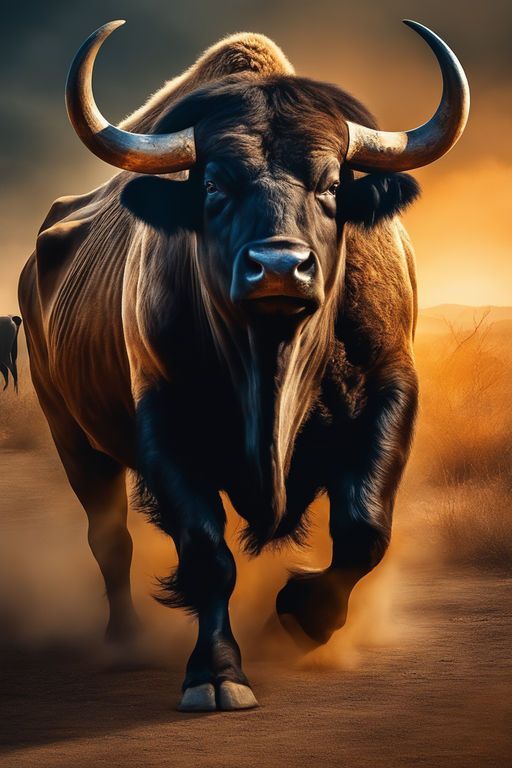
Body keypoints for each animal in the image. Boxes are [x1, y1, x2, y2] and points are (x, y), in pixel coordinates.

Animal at [19, 20, 469, 711]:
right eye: (212, 185)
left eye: (331, 183)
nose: (279, 267)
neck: (272, 360)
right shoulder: (166, 422)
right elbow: (207, 554)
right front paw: (216, 673)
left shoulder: (390, 394)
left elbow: (364, 529)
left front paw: (300, 614)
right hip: (71, 434)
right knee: (109, 538)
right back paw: (124, 643)